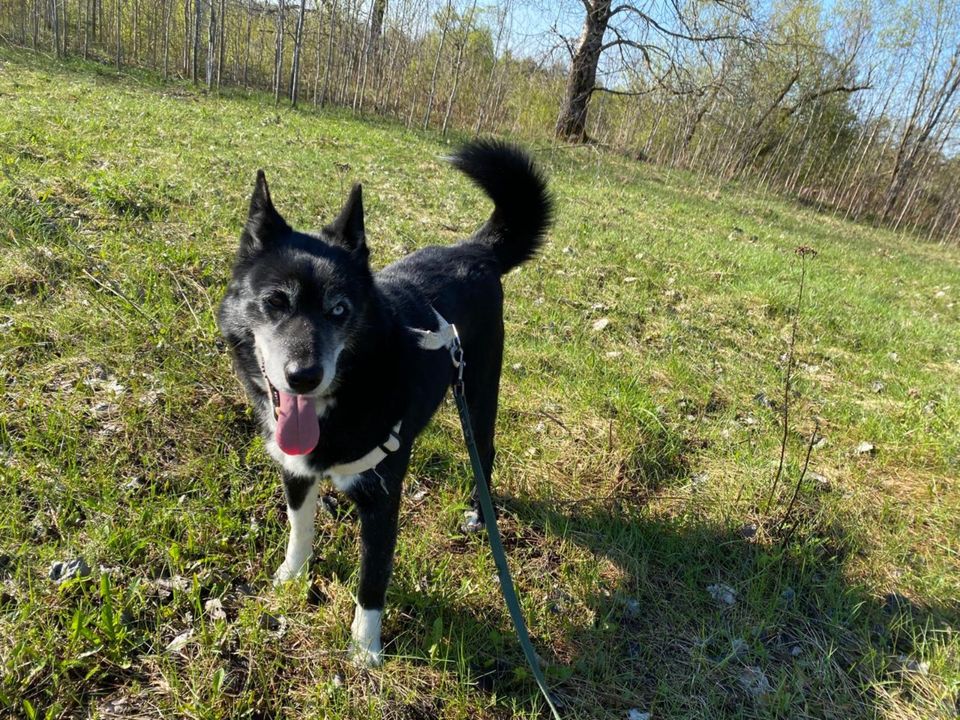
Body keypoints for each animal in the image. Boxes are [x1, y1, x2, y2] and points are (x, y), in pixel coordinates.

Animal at [215, 139, 552, 664]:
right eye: (274, 302)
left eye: (339, 309)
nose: (304, 377)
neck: (343, 399)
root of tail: (473, 249)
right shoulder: (296, 471)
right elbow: (299, 529)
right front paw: (291, 576)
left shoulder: (381, 501)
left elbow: (372, 580)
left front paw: (365, 651)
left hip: (479, 390)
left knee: (485, 451)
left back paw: (480, 513)